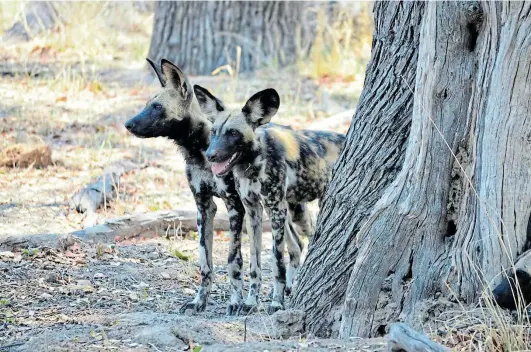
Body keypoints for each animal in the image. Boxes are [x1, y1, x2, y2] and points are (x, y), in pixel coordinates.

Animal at [123, 59, 312, 314]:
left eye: (157, 107)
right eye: (147, 105)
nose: (128, 124)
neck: (200, 148)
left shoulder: (234, 206)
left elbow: (234, 260)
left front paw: (235, 301)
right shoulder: (204, 206)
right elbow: (205, 261)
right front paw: (199, 301)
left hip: (286, 210)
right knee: (295, 246)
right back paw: (287, 289)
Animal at [195, 85, 350, 314]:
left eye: (233, 133)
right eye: (214, 132)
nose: (210, 155)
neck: (251, 163)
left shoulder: (275, 209)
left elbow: (277, 263)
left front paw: (276, 302)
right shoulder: (253, 211)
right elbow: (254, 263)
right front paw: (251, 302)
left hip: (304, 212)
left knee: (310, 241)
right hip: (294, 211)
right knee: (298, 245)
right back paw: (291, 287)